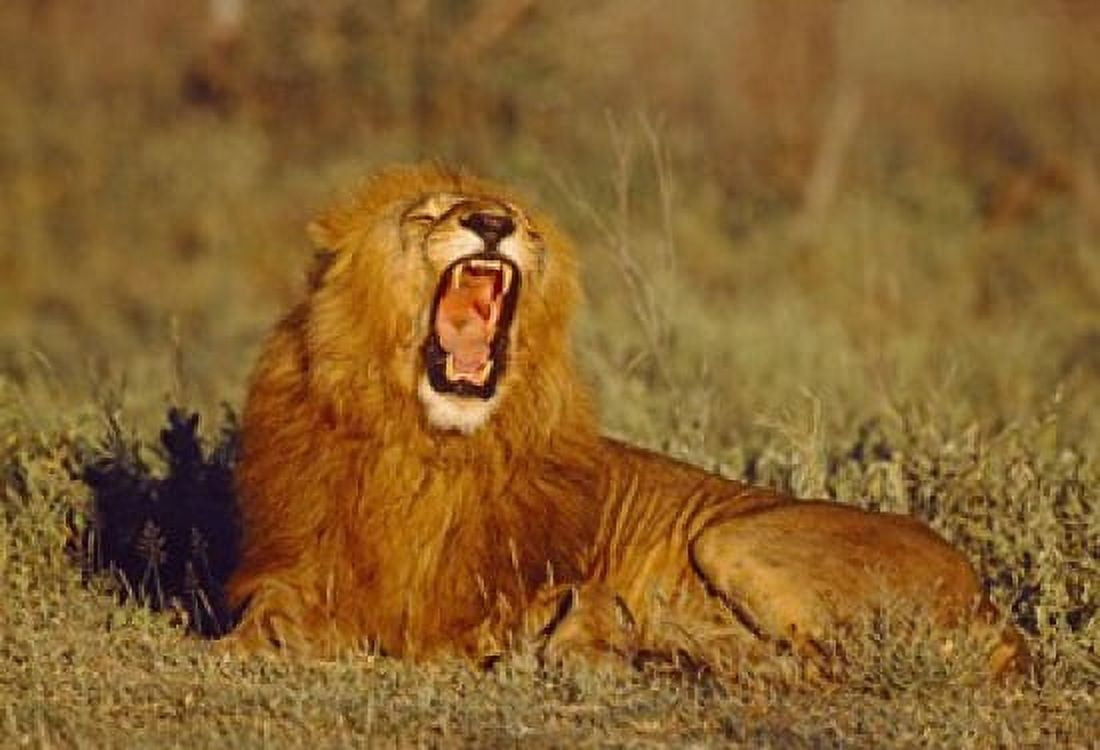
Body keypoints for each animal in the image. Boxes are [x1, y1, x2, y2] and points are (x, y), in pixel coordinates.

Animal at [223, 164, 1026, 677]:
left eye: (520, 223)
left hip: (733, 538)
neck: (426, 443)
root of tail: (990, 600)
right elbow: (267, 612)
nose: (493, 222)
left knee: (825, 665)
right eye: (425, 213)